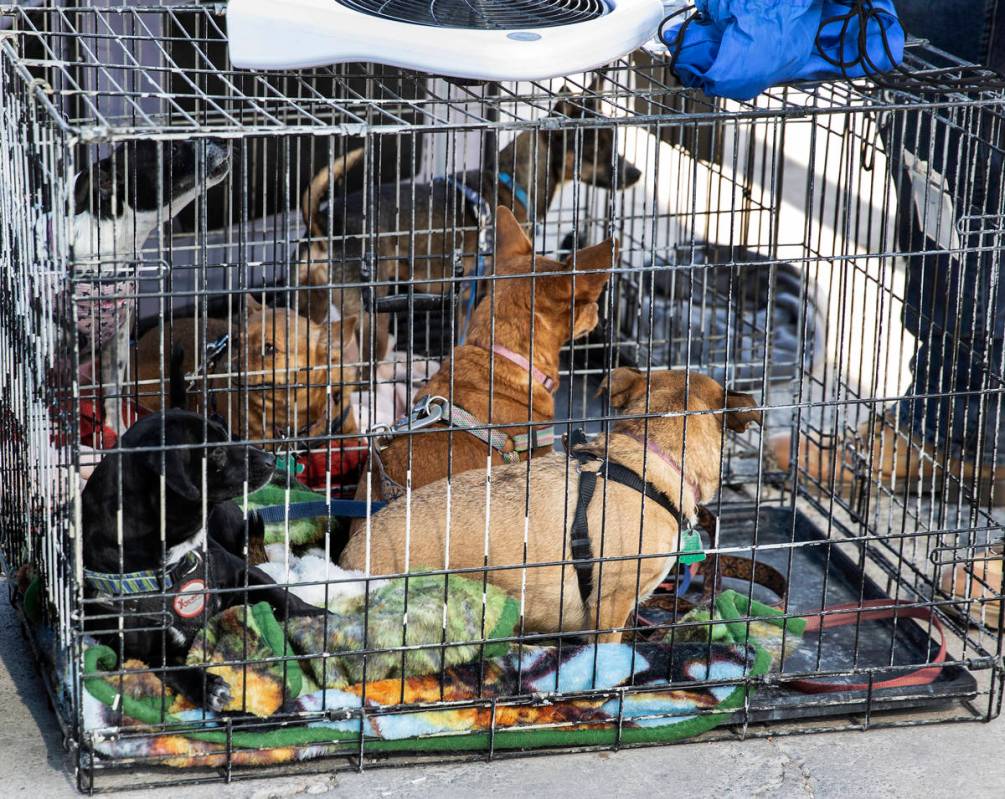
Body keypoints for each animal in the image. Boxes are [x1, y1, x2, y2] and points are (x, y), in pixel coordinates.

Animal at [84, 412, 325, 711]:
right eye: (216, 451)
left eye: (229, 435)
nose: (270, 460)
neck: (174, 562)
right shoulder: (140, 651)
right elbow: (171, 669)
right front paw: (207, 686)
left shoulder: (241, 572)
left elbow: (286, 598)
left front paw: (325, 620)